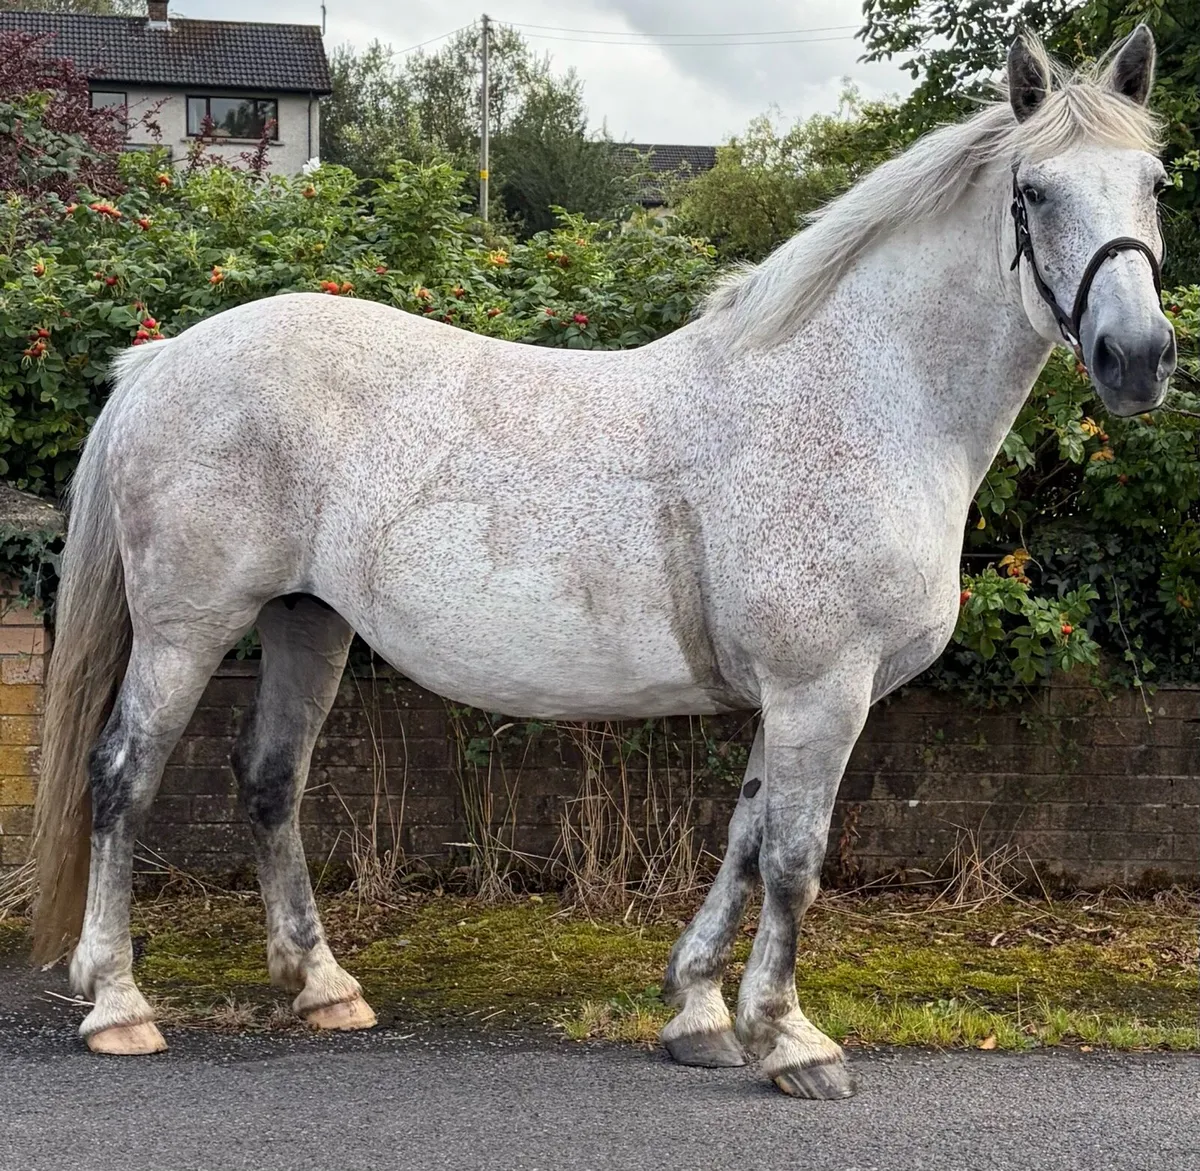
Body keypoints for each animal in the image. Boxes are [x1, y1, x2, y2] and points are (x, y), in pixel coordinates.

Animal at [31, 28, 1173, 1097]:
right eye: (1034, 191)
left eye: (1155, 183)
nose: (1139, 359)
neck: (857, 399)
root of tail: (161, 359)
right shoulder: (823, 689)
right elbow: (794, 859)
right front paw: (790, 1039)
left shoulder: (788, 696)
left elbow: (744, 836)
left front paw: (699, 1012)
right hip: (186, 627)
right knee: (123, 775)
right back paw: (119, 1003)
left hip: (305, 619)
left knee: (271, 779)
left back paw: (323, 987)